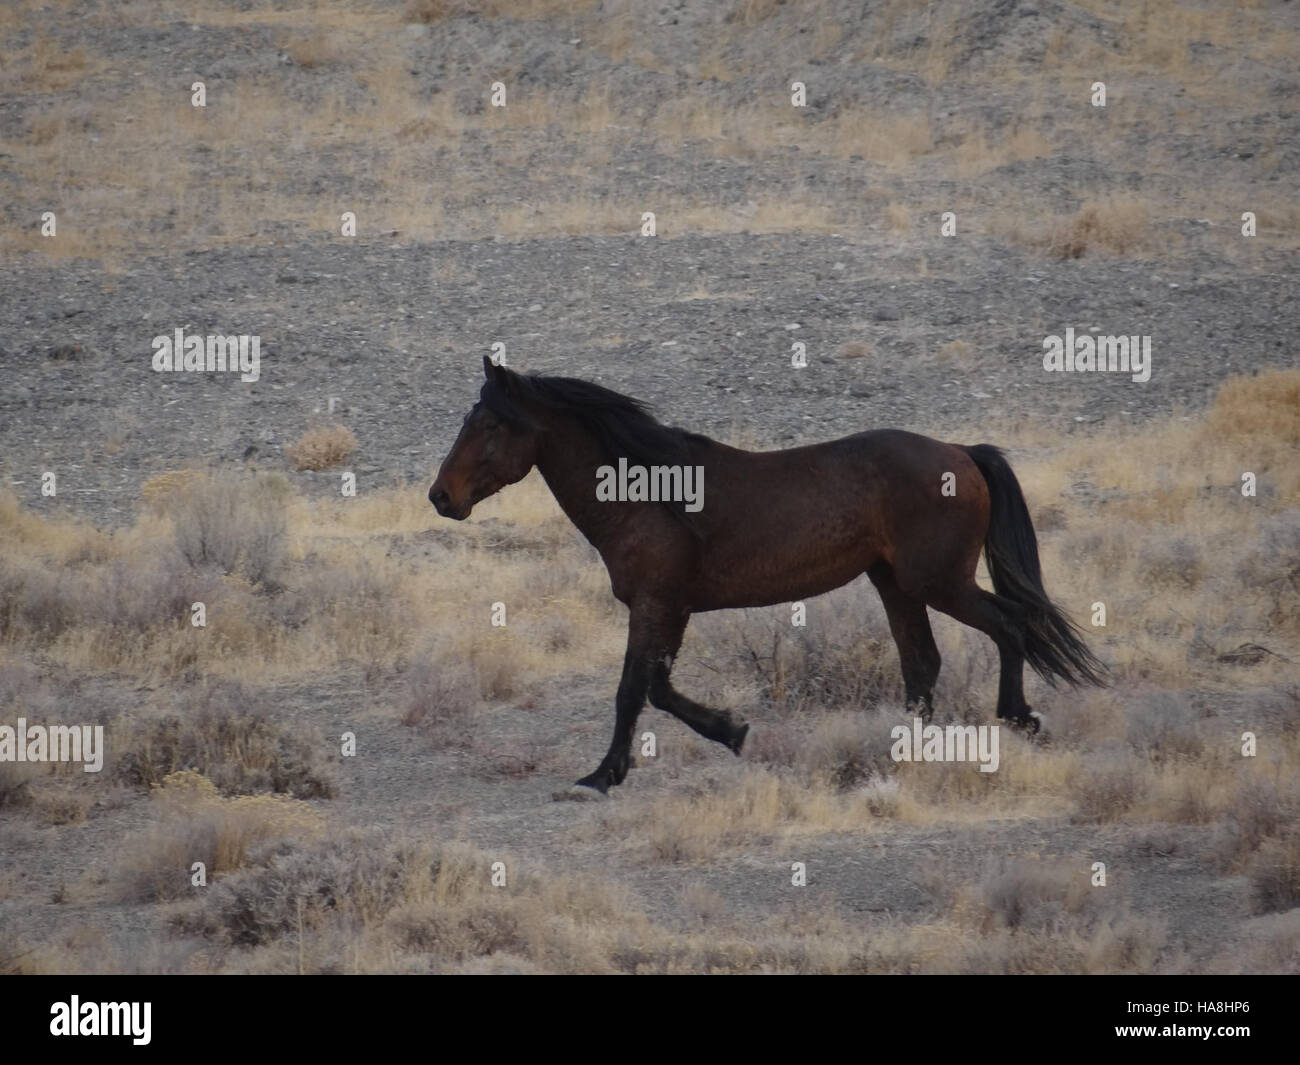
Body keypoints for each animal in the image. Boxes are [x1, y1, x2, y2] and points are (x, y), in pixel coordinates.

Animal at [431, 361, 1102, 795]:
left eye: (489, 425)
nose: (441, 497)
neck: (647, 495)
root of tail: (962, 453)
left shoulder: (656, 604)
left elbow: (634, 691)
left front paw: (602, 776)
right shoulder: (669, 609)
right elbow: (656, 690)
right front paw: (729, 732)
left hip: (938, 582)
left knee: (1009, 627)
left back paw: (1019, 717)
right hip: (895, 584)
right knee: (922, 665)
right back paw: (907, 749)